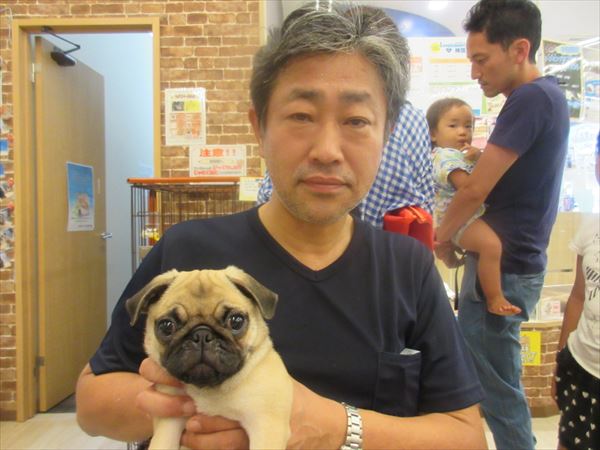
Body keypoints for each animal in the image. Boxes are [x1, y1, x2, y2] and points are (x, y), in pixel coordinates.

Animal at [126, 266, 293, 450]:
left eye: (236, 321)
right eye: (167, 326)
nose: (201, 334)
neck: (208, 389)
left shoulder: (266, 426)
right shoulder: (169, 423)